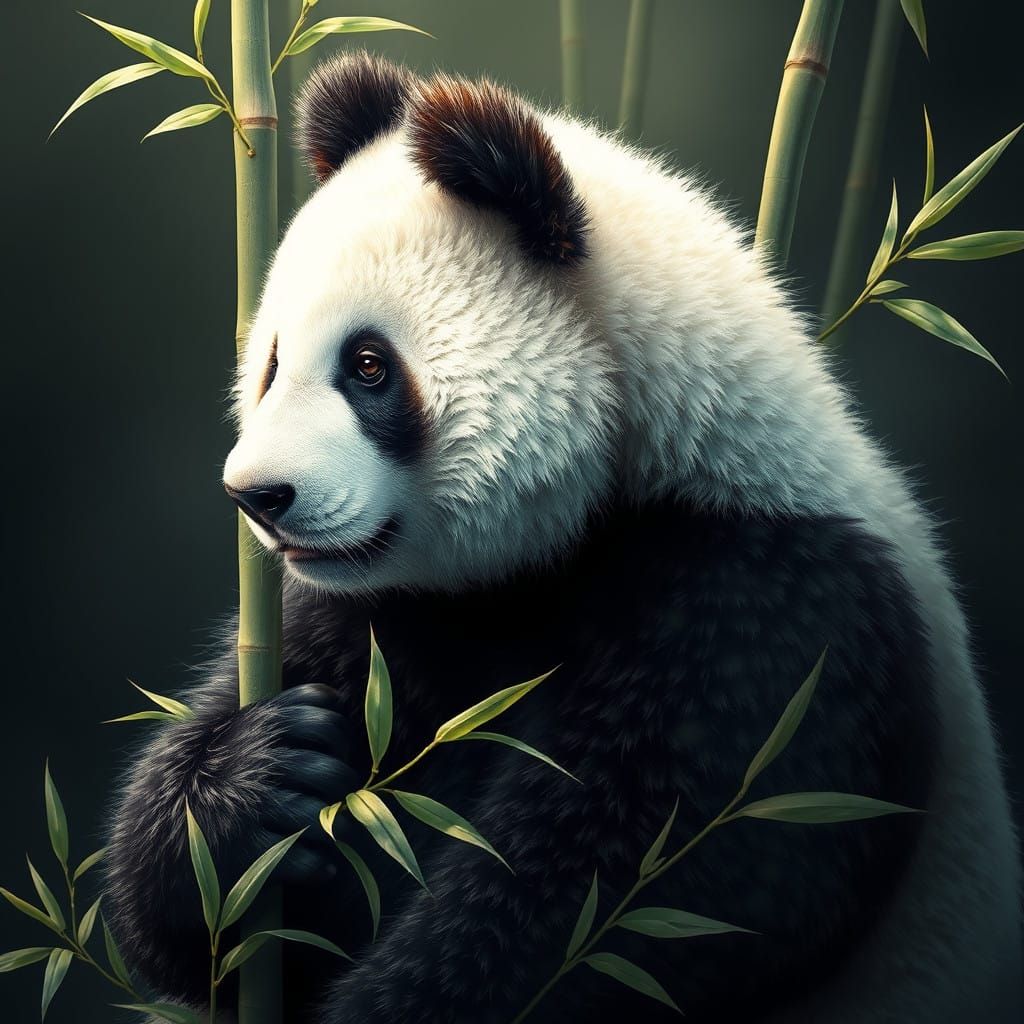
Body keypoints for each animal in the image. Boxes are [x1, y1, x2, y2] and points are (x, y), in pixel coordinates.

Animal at [105, 53, 1021, 1023]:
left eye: (368, 367)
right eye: (272, 363)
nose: (259, 495)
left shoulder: (772, 624)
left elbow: (610, 903)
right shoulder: (397, 620)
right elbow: (199, 920)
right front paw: (269, 771)